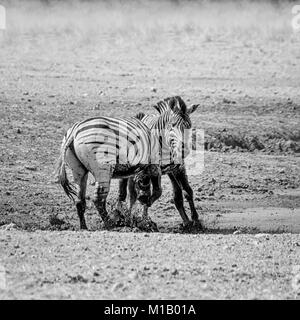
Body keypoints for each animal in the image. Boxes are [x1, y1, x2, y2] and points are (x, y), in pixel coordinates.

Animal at [54, 96, 192, 229]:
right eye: (172, 125)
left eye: (189, 126)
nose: (184, 150)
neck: (158, 137)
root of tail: (74, 131)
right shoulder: (153, 167)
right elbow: (156, 192)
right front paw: (141, 216)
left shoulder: (139, 171)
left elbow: (134, 194)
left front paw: (133, 217)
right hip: (103, 169)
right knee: (98, 199)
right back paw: (111, 225)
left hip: (78, 170)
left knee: (79, 201)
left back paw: (84, 227)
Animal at [118, 96, 203, 229]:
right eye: (172, 125)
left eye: (189, 125)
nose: (183, 150)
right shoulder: (150, 170)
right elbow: (151, 193)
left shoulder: (177, 168)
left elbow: (186, 191)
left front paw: (193, 221)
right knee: (126, 194)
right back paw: (125, 217)